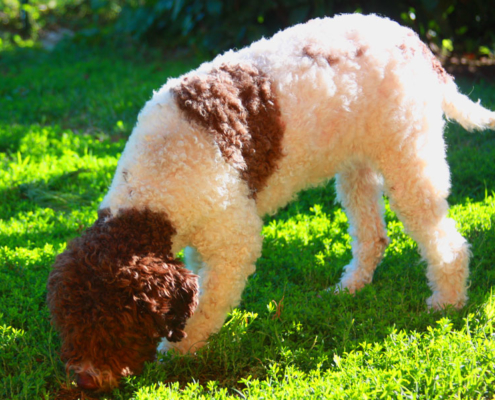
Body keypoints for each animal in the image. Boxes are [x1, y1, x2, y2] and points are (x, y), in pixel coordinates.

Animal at [47, 14, 495, 392]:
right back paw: (350, 286)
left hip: (407, 153)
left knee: (444, 239)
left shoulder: (233, 241)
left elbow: (205, 306)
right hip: (357, 163)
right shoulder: (200, 241)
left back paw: (448, 300)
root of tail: (413, 41)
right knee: (373, 234)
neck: (153, 194)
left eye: (116, 323)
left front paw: (177, 352)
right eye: (67, 321)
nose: (84, 379)